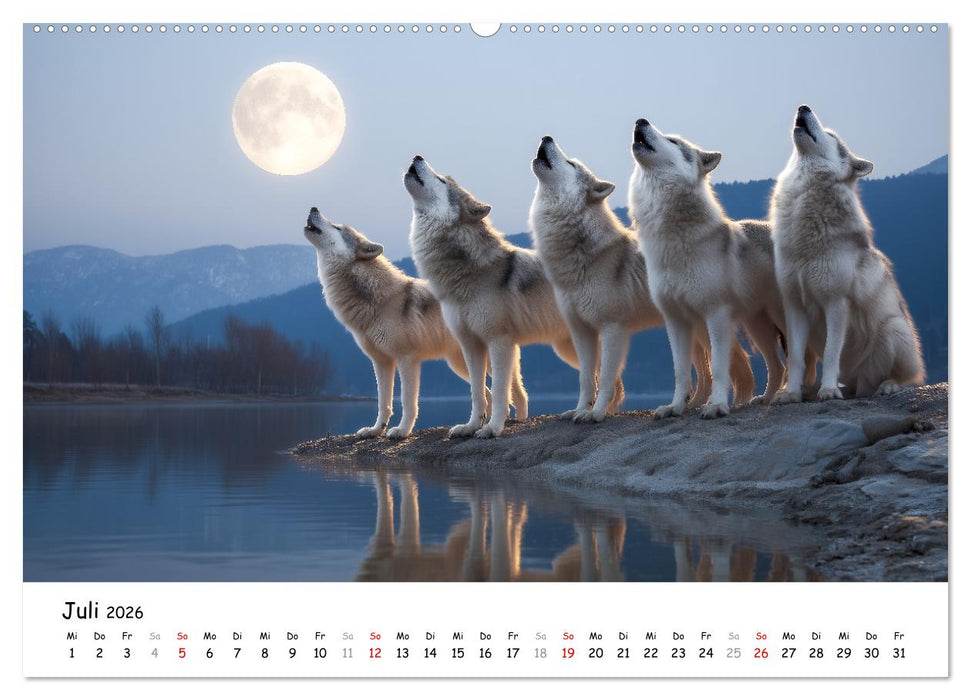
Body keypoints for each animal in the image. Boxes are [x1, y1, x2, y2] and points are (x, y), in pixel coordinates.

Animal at [304, 207, 524, 439]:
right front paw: (376, 430)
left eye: (337, 227)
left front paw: (402, 430)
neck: (376, 299)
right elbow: (383, 402)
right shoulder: (381, 362)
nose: (313, 208)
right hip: (461, 364)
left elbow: (408, 402)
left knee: (516, 393)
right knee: (487, 394)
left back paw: (512, 421)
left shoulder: (407, 359)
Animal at [404, 155, 590, 438]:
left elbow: (502, 391)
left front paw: (493, 428)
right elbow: (478, 392)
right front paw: (471, 426)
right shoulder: (471, 345)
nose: (417, 157)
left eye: (441, 180)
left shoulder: (499, 342)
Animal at [528, 135, 756, 422]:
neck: (579, 256)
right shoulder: (582, 332)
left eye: (570, 163)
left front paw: (596, 413)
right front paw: (579, 410)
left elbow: (605, 379)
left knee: (730, 365)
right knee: (702, 376)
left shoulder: (613, 329)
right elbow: (585, 379)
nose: (546, 137)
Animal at [628, 118, 793, 419]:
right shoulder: (677, 322)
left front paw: (716, 405)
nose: (640, 120)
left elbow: (717, 367)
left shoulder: (716, 316)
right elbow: (681, 372)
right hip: (758, 327)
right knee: (778, 366)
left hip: (781, 318)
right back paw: (766, 397)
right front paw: (675, 407)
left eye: (673, 141)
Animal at [770, 105, 925, 402]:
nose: (803, 107)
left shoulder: (836, 303)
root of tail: (860, 383)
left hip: (895, 330)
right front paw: (791, 393)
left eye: (830, 135)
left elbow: (831, 353)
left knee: (906, 377)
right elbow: (796, 359)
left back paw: (886, 386)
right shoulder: (794, 305)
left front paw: (829, 389)